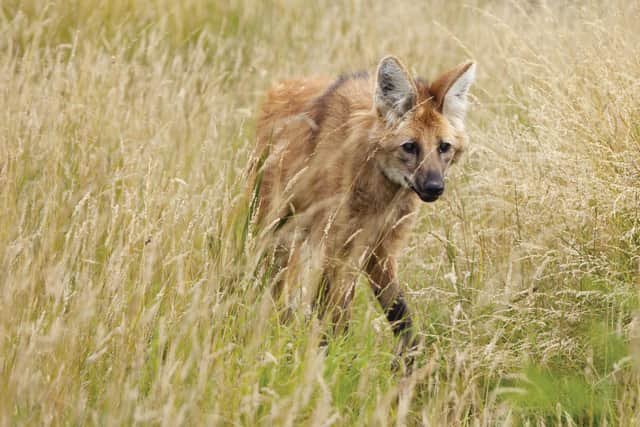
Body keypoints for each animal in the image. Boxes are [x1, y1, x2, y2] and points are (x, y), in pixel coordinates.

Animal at [253, 55, 476, 355]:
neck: (380, 190)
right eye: (410, 146)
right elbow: (336, 311)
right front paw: (332, 357)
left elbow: (400, 314)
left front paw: (412, 362)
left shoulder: (380, 248)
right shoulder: (337, 243)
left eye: (443, 147)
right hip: (275, 225)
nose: (434, 187)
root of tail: (281, 85)